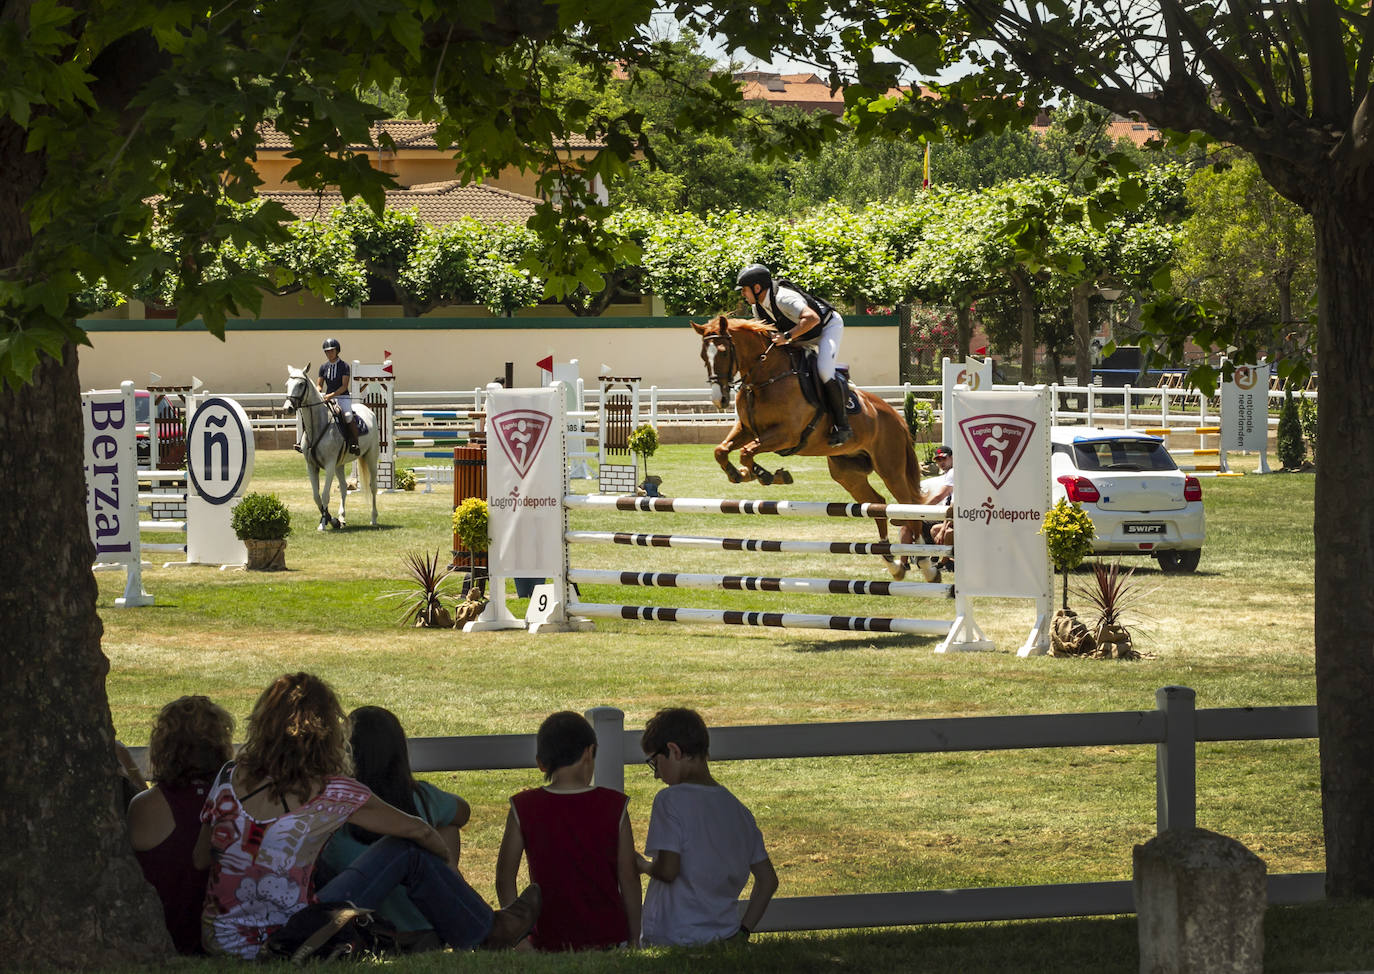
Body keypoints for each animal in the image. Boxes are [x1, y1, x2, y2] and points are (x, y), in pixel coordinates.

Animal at [284, 365, 379, 533]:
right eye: (287, 384)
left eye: (301, 384)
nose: (287, 408)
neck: (317, 426)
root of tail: (368, 411)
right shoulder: (311, 466)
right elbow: (316, 496)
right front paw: (333, 520)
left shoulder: (329, 465)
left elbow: (324, 495)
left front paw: (323, 524)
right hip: (339, 464)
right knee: (343, 488)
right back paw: (342, 517)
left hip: (371, 457)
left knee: (373, 487)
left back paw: (373, 518)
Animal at [692, 315, 928, 582]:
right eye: (703, 355)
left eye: (723, 352)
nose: (719, 400)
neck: (765, 377)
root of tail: (896, 416)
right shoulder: (748, 430)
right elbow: (722, 450)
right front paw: (740, 474)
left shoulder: (786, 434)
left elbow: (746, 452)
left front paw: (766, 475)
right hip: (847, 474)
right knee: (878, 504)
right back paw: (893, 563)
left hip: (890, 469)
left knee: (910, 507)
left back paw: (924, 563)